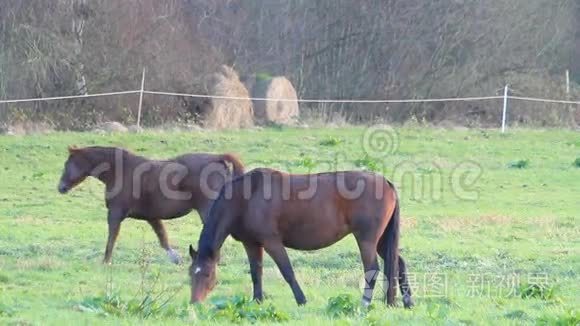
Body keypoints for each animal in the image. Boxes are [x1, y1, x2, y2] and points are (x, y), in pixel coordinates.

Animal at [56, 146, 242, 264]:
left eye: (67, 164)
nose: (61, 188)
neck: (119, 171)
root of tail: (218, 158)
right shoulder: (152, 217)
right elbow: (163, 238)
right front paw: (176, 259)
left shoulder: (115, 214)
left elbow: (111, 238)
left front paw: (105, 262)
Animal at [189, 168, 412, 308]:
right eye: (191, 274)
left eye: (207, 274)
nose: (194, 303)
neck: (247, 197)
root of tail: (386, 182)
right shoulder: (251, 244)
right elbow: (256, 273)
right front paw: (257, 301)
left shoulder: (272, 242)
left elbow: (287, 271)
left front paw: (301, 300)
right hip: (382, 241)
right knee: (398, 263)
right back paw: (405, 302)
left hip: (366, 240)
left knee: (372, 269)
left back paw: (364, 304)